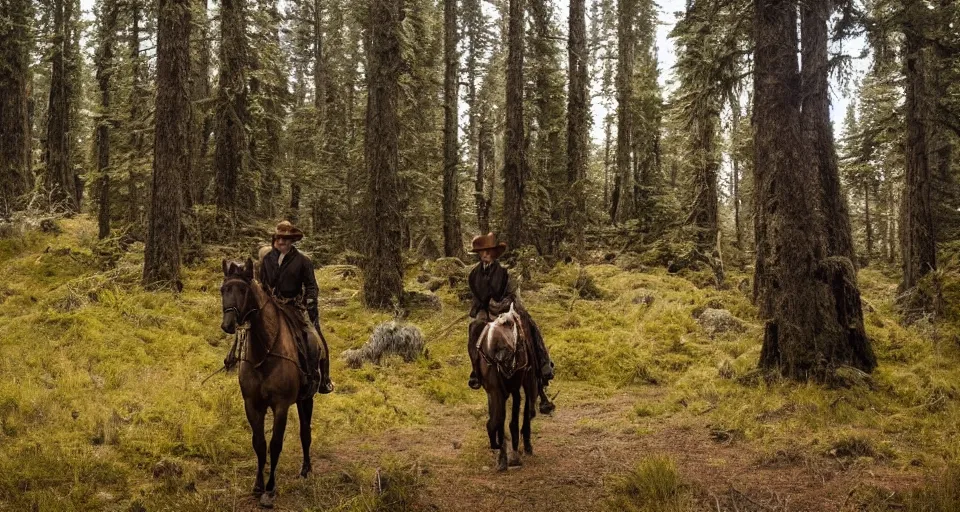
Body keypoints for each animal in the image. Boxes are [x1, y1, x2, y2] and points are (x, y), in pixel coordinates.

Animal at [219, 260, 314, 508]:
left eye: (243, 290)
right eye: (223, 290)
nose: (228, 324)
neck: (264, 351)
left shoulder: (281, 406)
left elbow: (275, 444)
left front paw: (270, 490)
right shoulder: (252, 405)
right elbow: (259, 444)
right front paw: (258, 485)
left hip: (307, 399)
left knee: (305, 431)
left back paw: (306, 469)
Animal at [476, 304, 536, 472]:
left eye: (511, 324)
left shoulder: (512, 388)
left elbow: (511, 419)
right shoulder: (497, 389)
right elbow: (503, 419)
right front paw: (505, 456)